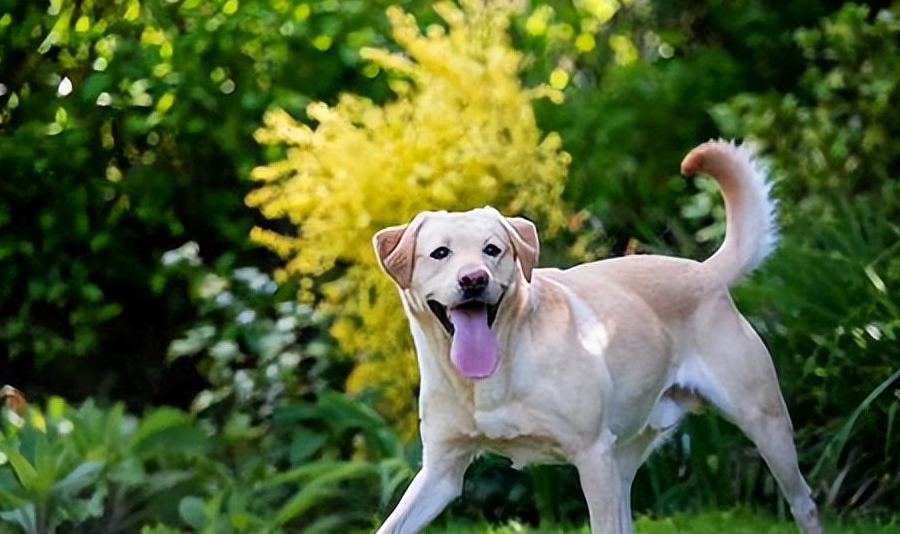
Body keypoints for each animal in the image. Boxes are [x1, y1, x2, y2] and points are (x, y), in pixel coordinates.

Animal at [370, 142, 824, 534]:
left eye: (492, 250)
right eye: (440, 253)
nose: (474, 280)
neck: (496, 372)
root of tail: (703, 270)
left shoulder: (591, 455)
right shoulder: (441, 471)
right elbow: (390, 526)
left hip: (764, 424)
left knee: (805, 502)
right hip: (624, 457)